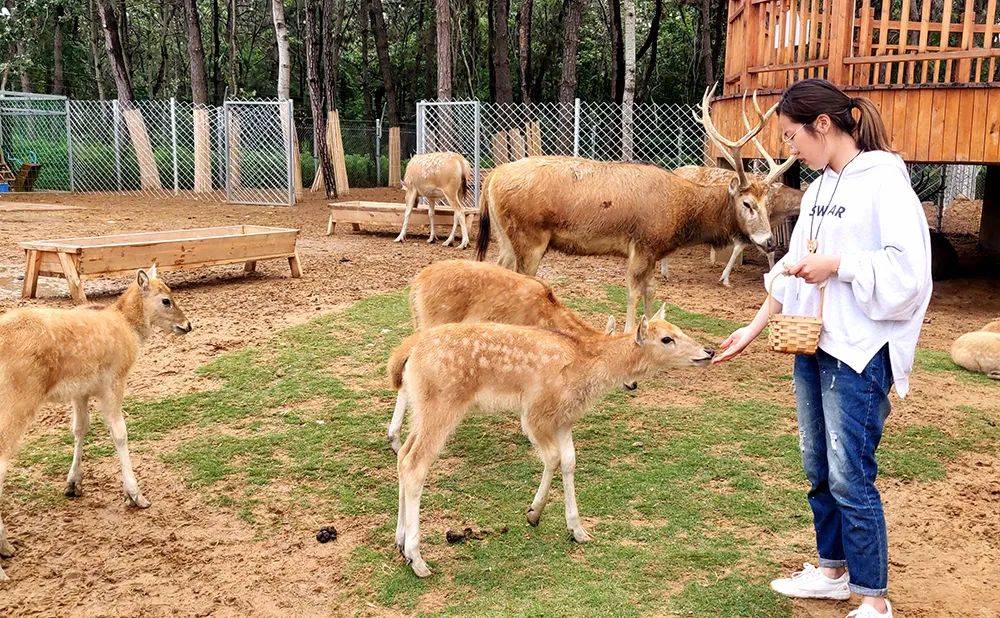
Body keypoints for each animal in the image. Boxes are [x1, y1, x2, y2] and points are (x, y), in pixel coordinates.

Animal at [0, 265, 192, 582]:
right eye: (166, 300)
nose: (187, 325)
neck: (126, 326)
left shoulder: (81, 390)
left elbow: (80, 428)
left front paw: (73, 485)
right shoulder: (113, 381)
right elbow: (119, 432)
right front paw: (136, 495)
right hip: (19, 399)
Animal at [386, 259, 618, 453]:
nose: (627, 385)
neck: (549, 313)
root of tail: (416, 286)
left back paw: (394, 438)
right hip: (434, 323)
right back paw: (395, 438)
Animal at [388, 305, 715, 578]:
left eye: (679, 329)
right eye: (667, 339)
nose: (708, 351)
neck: (586, 368)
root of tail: (407, 352)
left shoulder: (564, 420)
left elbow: (569, 461)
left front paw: (577, 530)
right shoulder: (535, 412)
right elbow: (553, 458)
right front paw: (534, 513)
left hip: (423, 407)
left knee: (403, 456)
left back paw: (401, 544)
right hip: (443, 404)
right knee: (416, 464)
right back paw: (418, 559)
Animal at [475, 86, 796, 331]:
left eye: (767, 204)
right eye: (747, 204)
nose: (769, 241)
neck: (681, 217)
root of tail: (492, 176)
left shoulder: (654, 250)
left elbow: (651, 289)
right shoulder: (642, 244)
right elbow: (632, 291)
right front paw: (631, 330)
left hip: (505, 235)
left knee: (497, 266)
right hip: (530, 236)